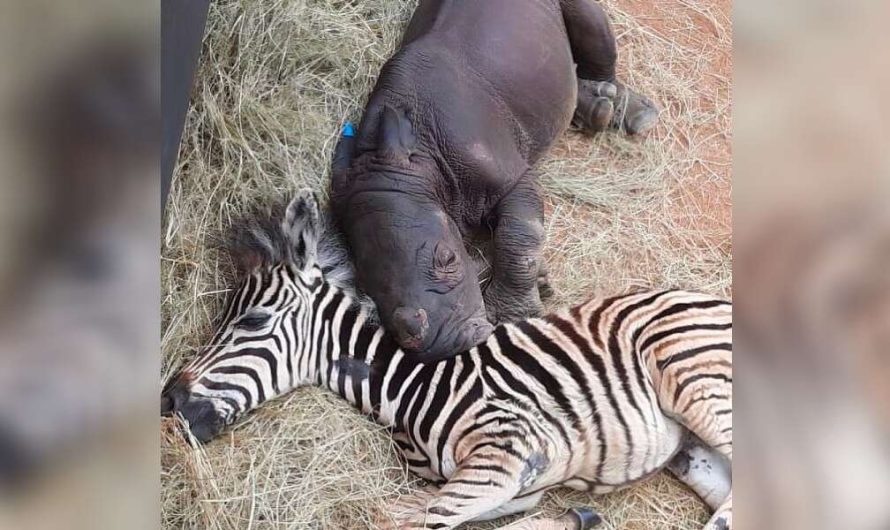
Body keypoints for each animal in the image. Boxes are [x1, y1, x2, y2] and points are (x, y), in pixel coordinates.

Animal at [163, 192, 732, 528]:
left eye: (252, 321)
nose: (168, 401)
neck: (411, 389)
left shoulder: (507, 453)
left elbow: (401, 519)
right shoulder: (511, 487)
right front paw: (575, 519)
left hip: (696, 380)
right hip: (693, 452)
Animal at [330, 0, 656, 358]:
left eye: (448, 258)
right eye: (367, 290)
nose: (445, 346)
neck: (418, 163)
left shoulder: (511, 178)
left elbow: (519, 238)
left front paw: (513, 316)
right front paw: (540, 282)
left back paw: (628, 112)